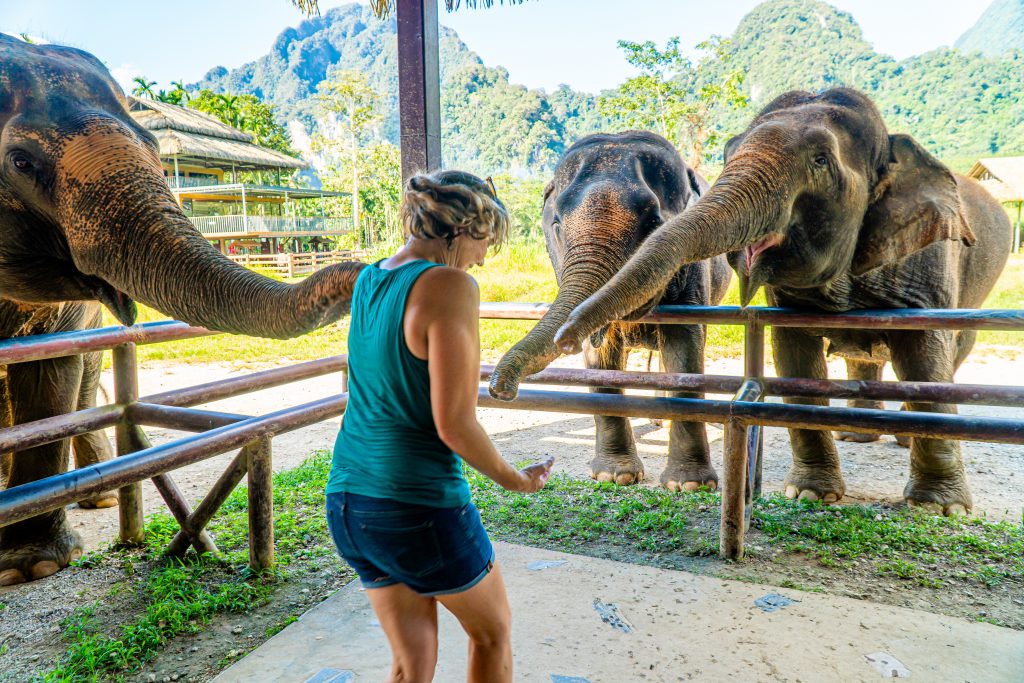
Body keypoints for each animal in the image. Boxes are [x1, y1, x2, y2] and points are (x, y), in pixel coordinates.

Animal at [0, 34, 365, 585]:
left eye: (154, 149)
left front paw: (31, 566)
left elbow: (48, 372)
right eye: (20, 162)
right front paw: (27, 567)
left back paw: (100, 498)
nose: (368, 267)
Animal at [489, 131, 731, 490]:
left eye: (654, 221)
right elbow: (601, 358)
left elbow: (685, 346)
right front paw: (616, 475)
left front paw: (690, 485)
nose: (499, 390)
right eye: (557, 225)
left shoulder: (692, 271)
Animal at [550, 88, 1012, 515]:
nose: (562, 338)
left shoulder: (928, 268)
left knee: (949, 354)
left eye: (821, 160)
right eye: (554, 224)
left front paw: (938, 507)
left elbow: (924, 355)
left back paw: (895, 435)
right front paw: (615, 477)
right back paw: (858, 433)